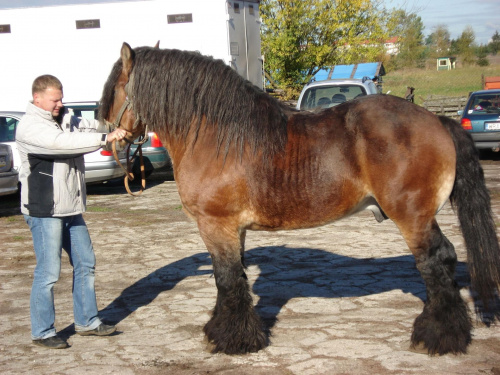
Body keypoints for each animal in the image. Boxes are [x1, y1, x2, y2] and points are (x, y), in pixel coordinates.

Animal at [98, 43, 500, 356]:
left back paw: (438, 337)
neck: (216, 135)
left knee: (436, 262)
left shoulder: (216, 224)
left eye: (115, 86)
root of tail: (437, 121)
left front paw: (232, 340)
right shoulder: (234, 230)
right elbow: (235, 277)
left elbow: (225, 278)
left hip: (413, 216)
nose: (104, 129)